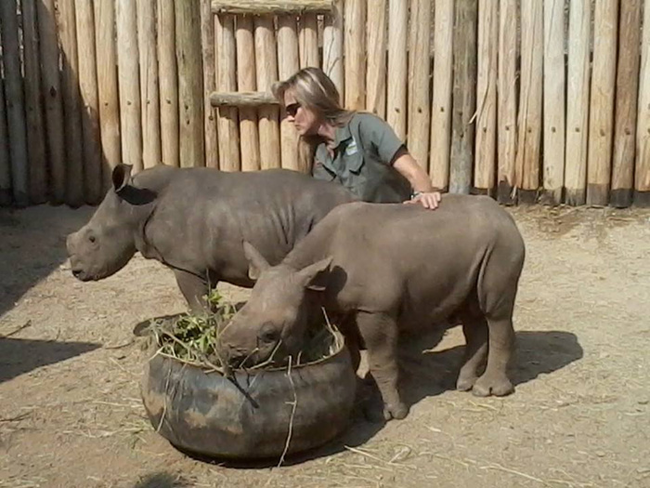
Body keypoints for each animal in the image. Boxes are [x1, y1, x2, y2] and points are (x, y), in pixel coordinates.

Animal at [67, 162, 354, 310]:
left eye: (92, 239)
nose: (76, 272)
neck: (134, 208)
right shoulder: (203, 265)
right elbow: (207, 303)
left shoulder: (188, 265)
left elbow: (198, 305)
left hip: (322, 214)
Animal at [218, 196, 528, 422]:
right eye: (237, 314)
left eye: (270, 334)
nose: (229, 356)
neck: (310, 277)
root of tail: (507, 216)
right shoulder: (342, 307)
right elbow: (354, 355)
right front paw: (358, 392)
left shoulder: (376, 309)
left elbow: (381, 358)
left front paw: (389, 413)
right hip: (478, 250)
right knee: (472, 313)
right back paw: (462, 383)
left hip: (502, 244)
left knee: (495, 312)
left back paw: (487, 391)